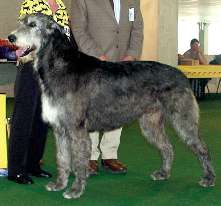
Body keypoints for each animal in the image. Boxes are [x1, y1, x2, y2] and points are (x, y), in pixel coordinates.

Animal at [9, 13, 216, 199]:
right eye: (21, 21)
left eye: (33, 25)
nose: (11, 38)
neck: (60, 65)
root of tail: (181, 74)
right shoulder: (60, 129)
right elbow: (62, 158)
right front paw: (60, 184)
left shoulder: (76, 129)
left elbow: (78, 161)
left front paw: (76, 190)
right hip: (150, 122)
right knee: (167, 147)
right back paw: (163, 173)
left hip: (183, 119)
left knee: (202, 147)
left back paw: (209, 178)